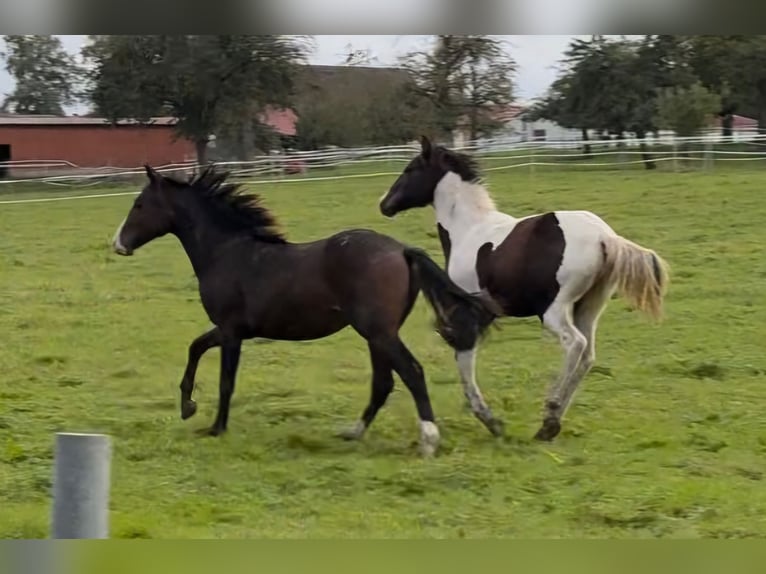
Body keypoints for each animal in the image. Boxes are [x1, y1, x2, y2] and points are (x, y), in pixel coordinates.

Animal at [110, 165, 493, 456]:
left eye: (140, 204)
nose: (118, 244)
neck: (227, 252)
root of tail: (401, 250)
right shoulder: (230, 329)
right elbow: (195, 347)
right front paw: (187, 408)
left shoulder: (232, 332)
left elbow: (225, 381)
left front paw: (215, 428)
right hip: (378, 334)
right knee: (383, 382)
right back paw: (353, 433)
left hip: (378, 331)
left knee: (411, 372)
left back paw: (428, 439)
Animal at [378, 136, 670, 442]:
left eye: (410, 169)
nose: (384, 204)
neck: (468, 229)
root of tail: (605, 237)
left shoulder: (468, 310)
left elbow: (464, 358)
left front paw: (488, 418)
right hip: (590, 306)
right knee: (588, 354)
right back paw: (550, 423)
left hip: (554, 310)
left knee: (575, 344)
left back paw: (550, 416)